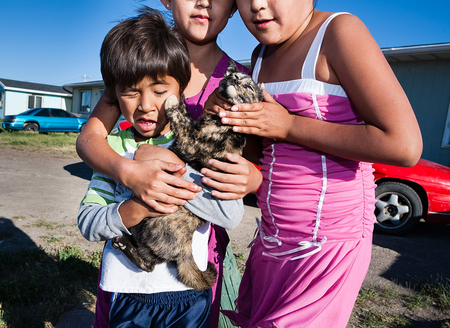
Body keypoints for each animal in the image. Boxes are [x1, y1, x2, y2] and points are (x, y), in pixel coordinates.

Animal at [111, 60, 264, 290]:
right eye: (234, 76)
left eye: (248, 87)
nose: (235, 79)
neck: (224, 119)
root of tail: (185, 250)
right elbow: (186, 116)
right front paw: (180, 98)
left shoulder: (190, 142)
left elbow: (181, 120)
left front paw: (172, 100)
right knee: (148, 262)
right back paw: (122, 243)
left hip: (147, 225)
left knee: (149, 264)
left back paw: (121, 243)